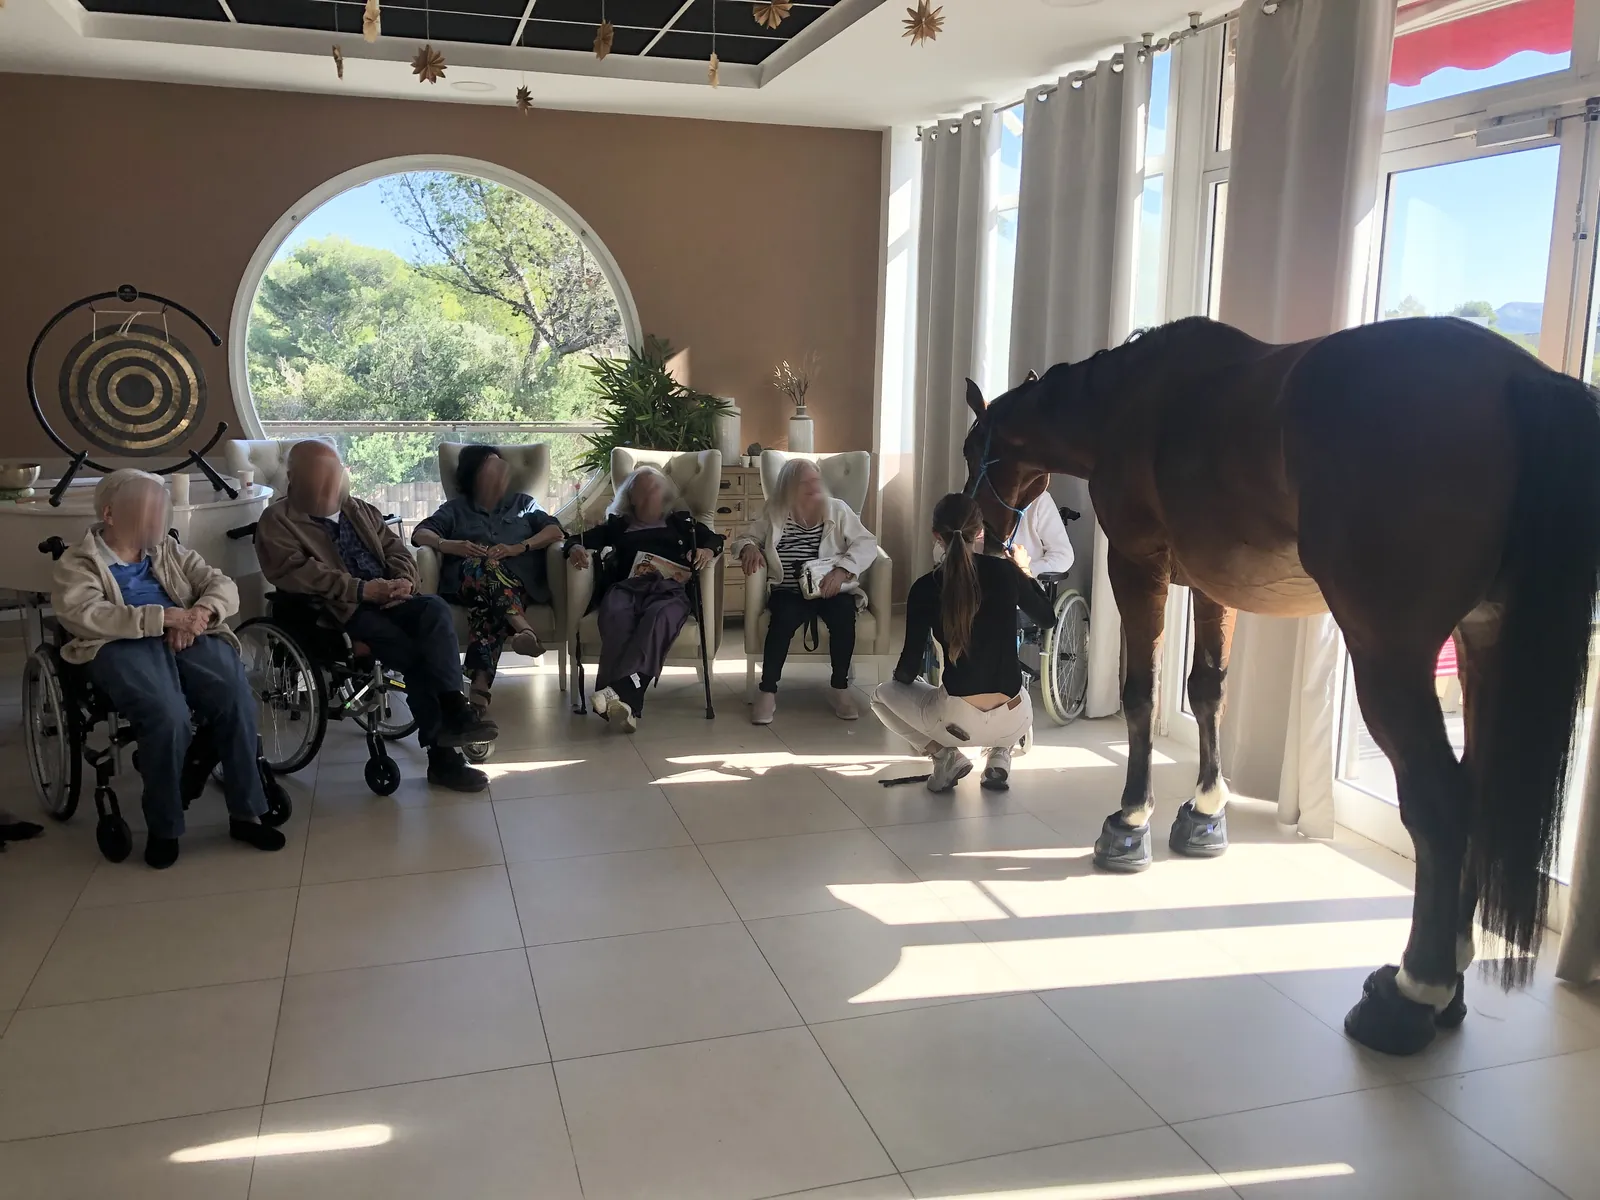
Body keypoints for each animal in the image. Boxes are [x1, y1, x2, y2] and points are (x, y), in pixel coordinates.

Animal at [961, 315, 1600, 1056]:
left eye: (974, 448)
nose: (973, 530)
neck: (1131, 400)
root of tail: (1519, 379)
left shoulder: (1137, 565)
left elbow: (1142, 692)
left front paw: (1130, 820)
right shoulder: (1215, 585)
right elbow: (1207, 690)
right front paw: (1205, 813)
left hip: (1390, 656)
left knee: (1441, 804)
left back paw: (1414, 990)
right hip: (1485, 641)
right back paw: (1451, 981)